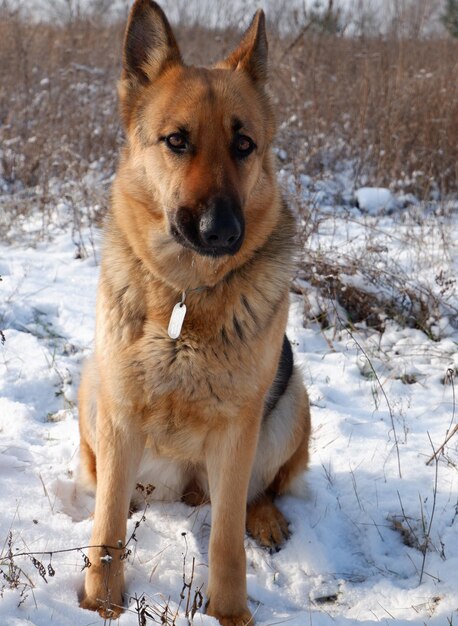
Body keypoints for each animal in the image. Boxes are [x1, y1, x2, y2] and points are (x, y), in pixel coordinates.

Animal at [78, 2, 312, 620]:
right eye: (177, 141)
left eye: (245, 145)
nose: (221, 231)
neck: (184, 295)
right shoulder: (119, 414)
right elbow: (106, 526)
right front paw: (99, 605)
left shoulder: (236, 434)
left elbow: (226, 540)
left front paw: (229, 615)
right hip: (93, 390)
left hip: (290, 401)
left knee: (260, 490)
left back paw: (266, 518)